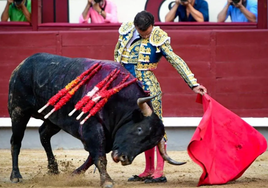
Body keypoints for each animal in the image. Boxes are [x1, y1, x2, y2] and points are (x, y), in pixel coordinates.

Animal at [8, 52, 184, 187]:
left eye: (150, 144)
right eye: (139, 129)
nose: (124, 159)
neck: (117, 100)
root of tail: (22, 64)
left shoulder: (109, 135)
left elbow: (92, 158)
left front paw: (73, 174)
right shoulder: (92, 128)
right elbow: (98, 155)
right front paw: (107, 181)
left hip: (53, 118)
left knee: (43, 134)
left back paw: (53, 169)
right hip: (18, 111)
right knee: (16, 141)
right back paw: (15, 176)